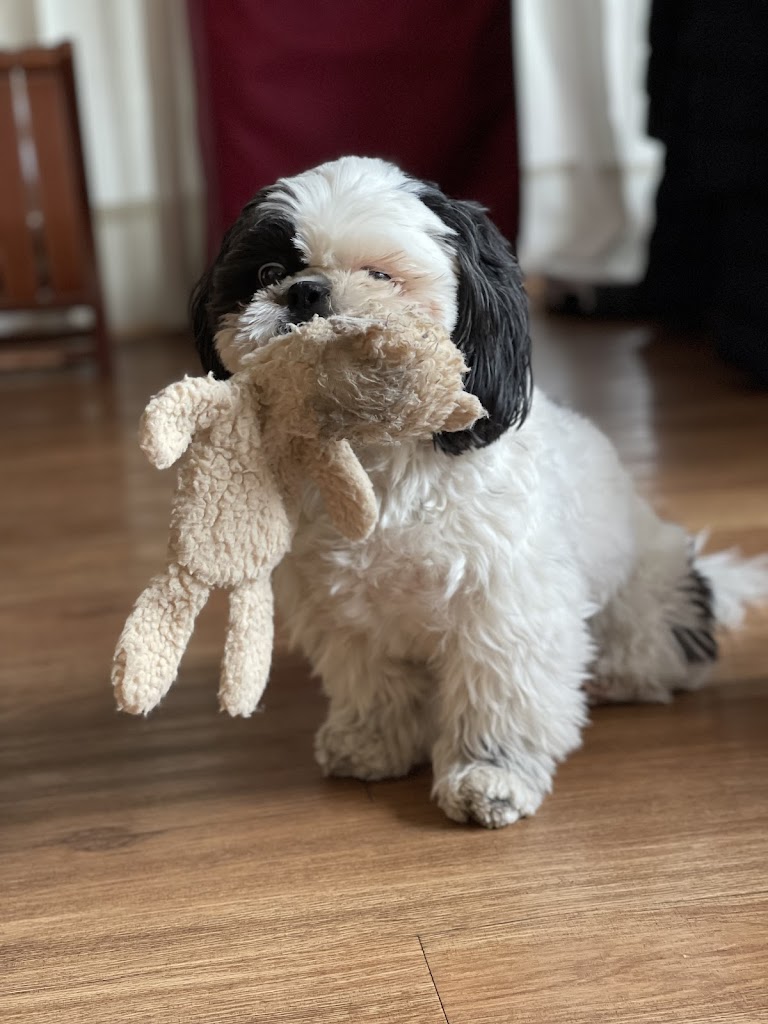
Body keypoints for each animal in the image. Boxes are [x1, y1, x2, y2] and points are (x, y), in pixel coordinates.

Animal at [190, 155, 768, 828]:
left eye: (380, 274)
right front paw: (372, 741)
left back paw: (614, 677)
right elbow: (373, 681)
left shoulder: (504, 608)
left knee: (657, 654)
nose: (307, 291)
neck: (377, 462)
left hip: (646, 608)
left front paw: (489, 775)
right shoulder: (345, 607)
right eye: (268, 272)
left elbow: (500, 697)